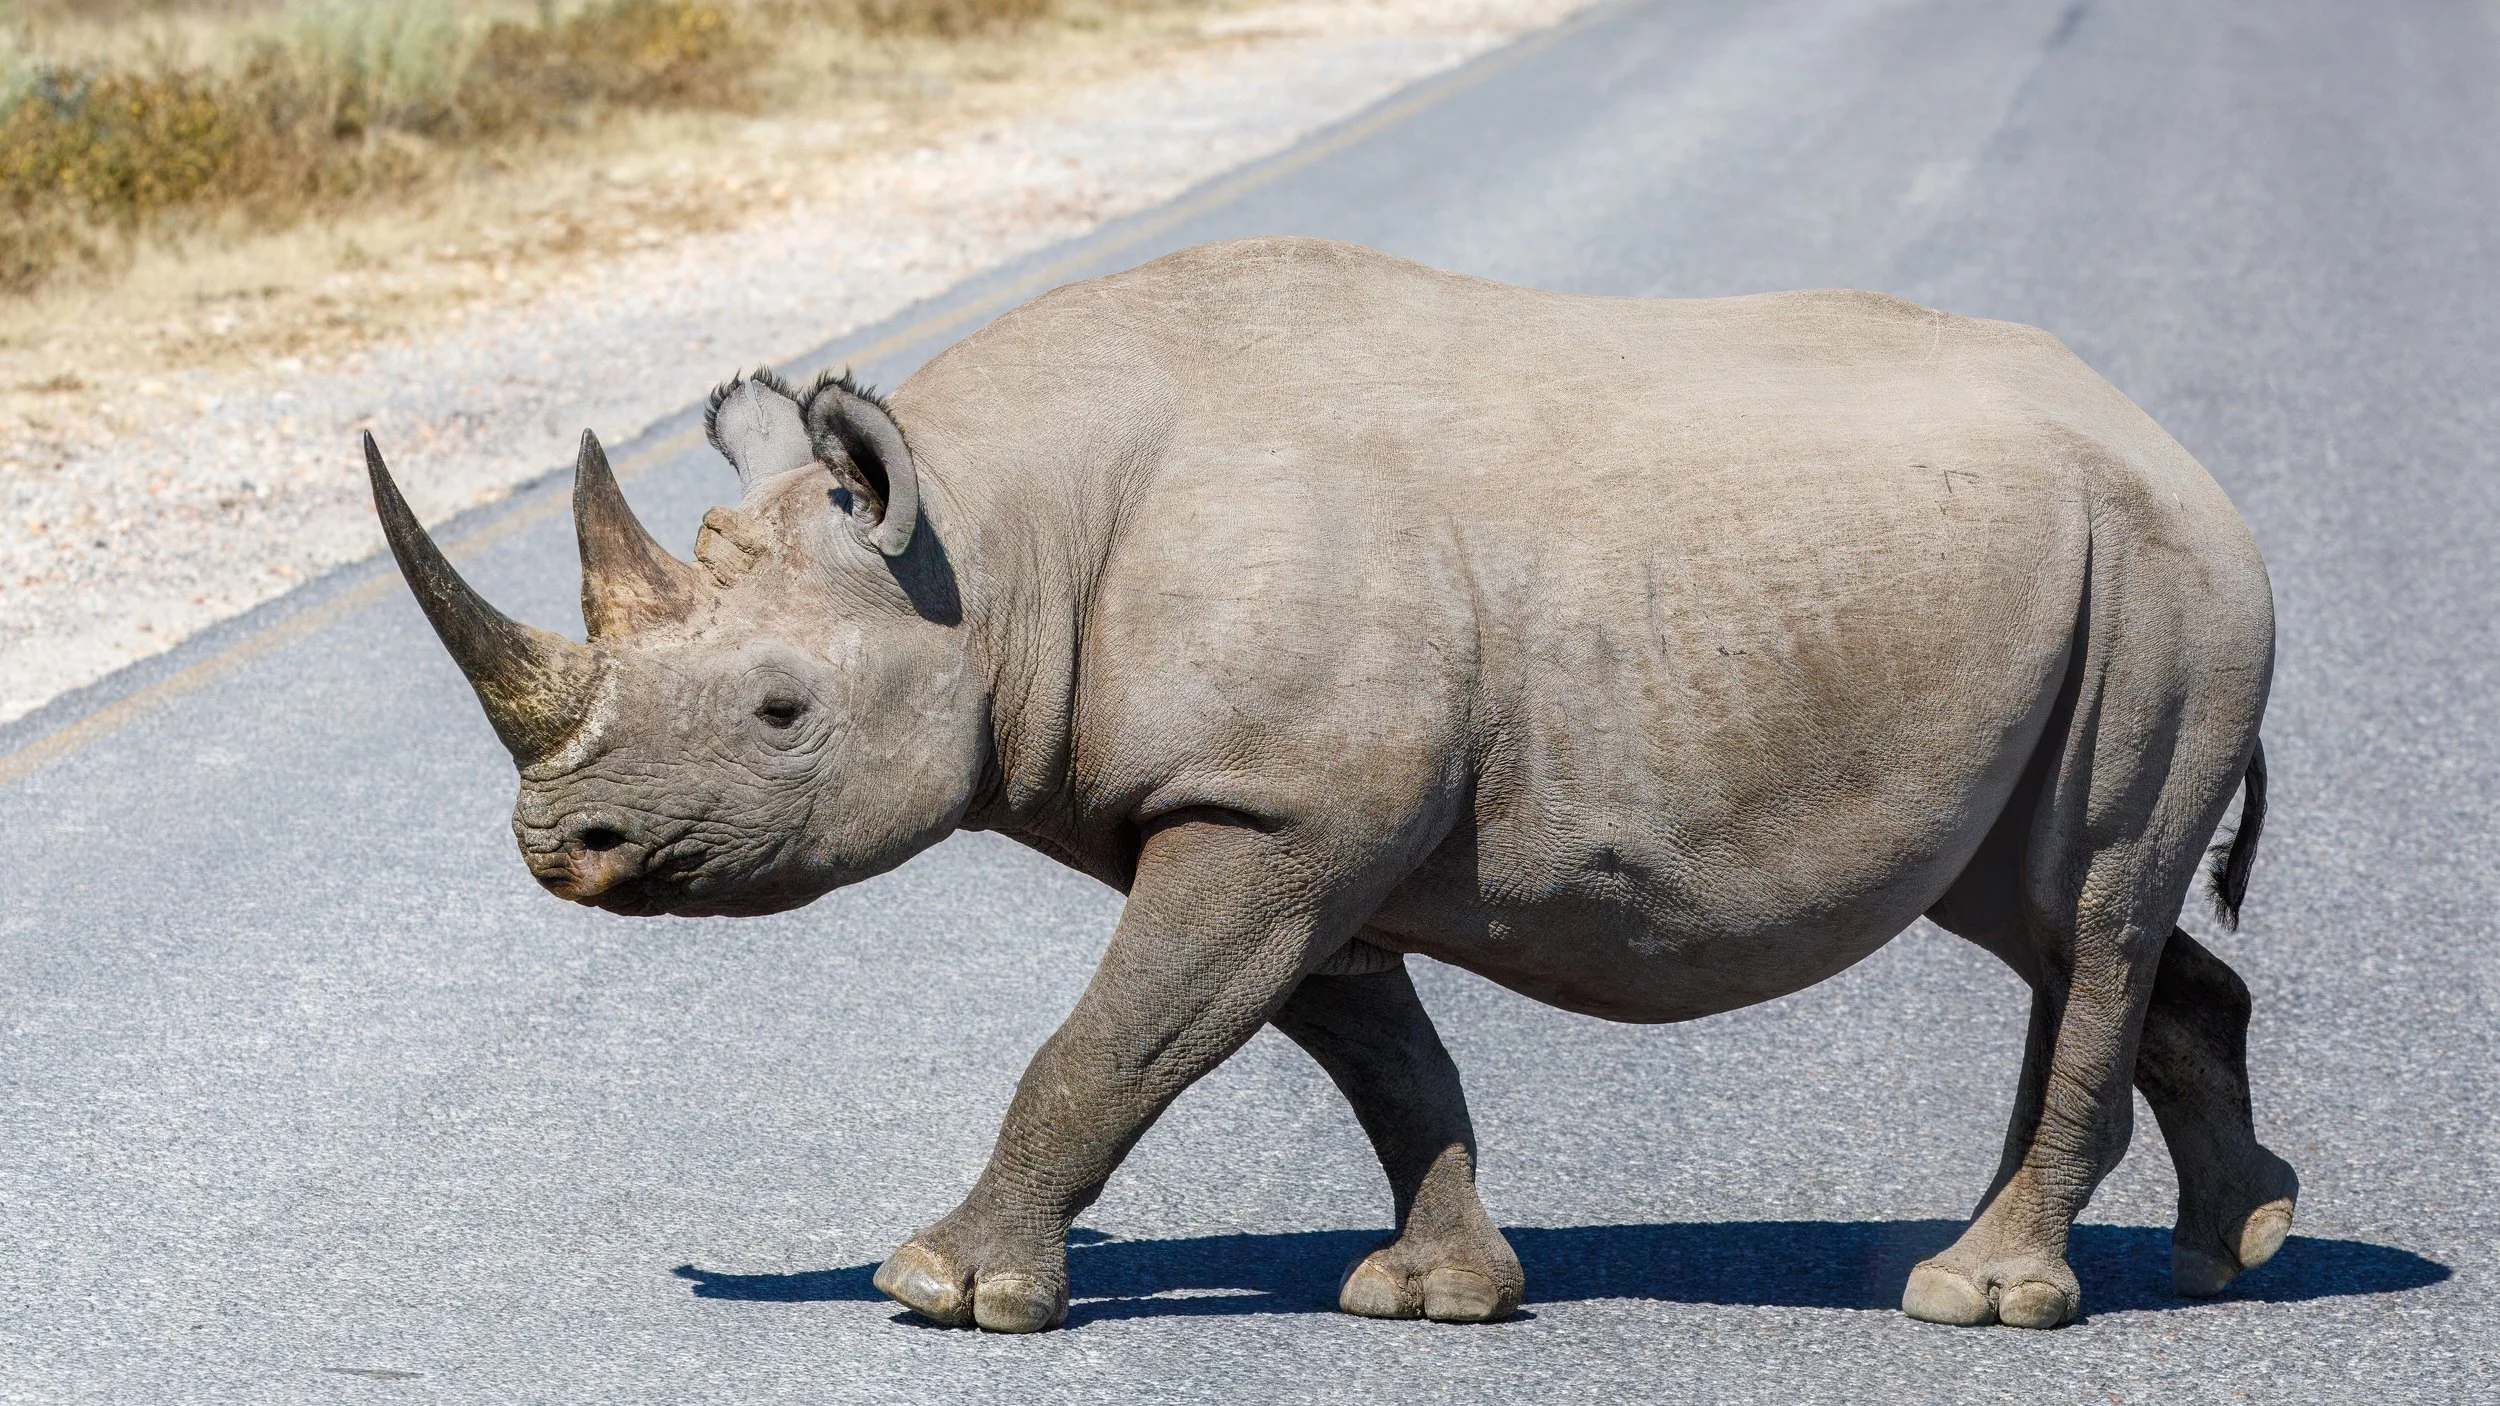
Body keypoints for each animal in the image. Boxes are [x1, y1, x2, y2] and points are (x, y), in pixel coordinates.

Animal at [366, 237, 2294, 1334]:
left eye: (778, 711)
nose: (561, 844)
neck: (993, 544)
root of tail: (2176, 445)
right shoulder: (1286, 814)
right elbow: (1376, 1057)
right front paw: (1436, 1297)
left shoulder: (1268, 811)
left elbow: (1111, 1043)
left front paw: (944, 1290)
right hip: (2089, 574)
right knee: (2048, 910)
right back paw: (2237, 1247)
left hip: (2174, 581)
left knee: (2093, 902)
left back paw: (1979, 1293)